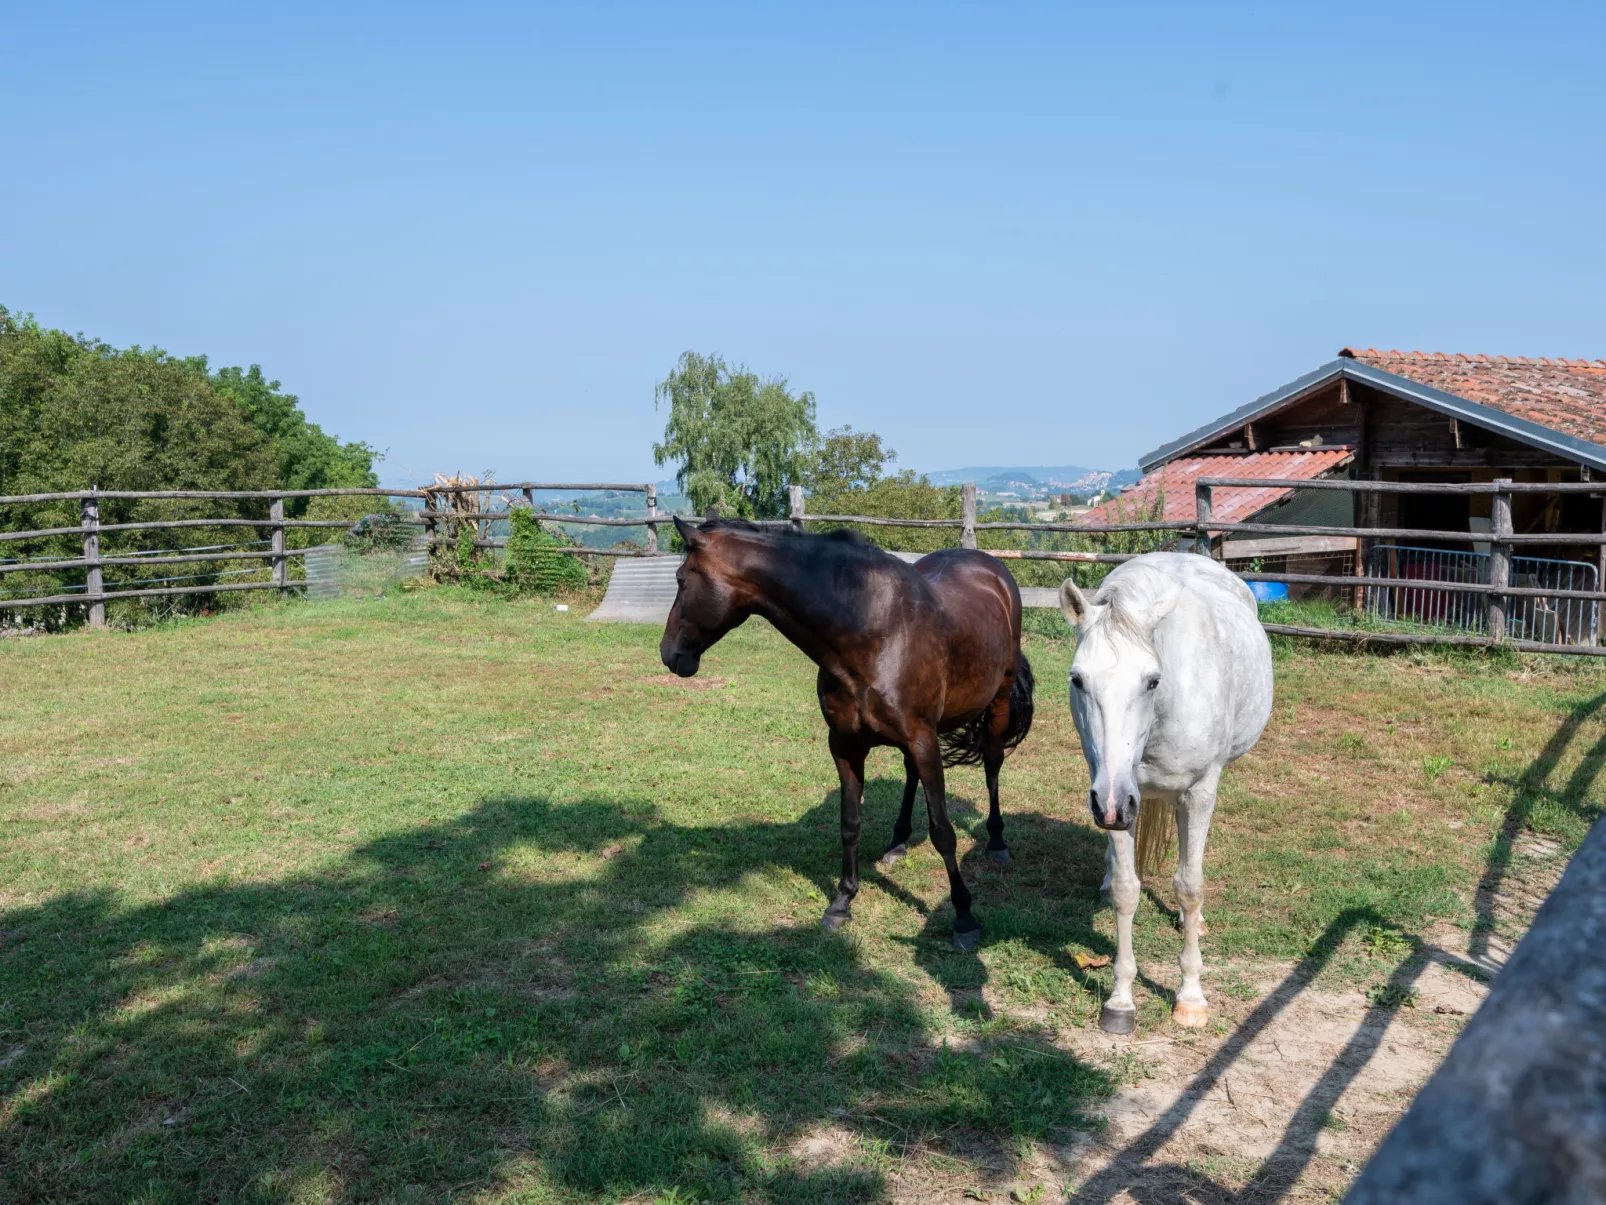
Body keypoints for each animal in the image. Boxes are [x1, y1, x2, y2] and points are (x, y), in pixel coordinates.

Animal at [658, 520, 1034, 951]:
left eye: (681, 579)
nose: (669, 654)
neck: (874, 633)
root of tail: (991, 569)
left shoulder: (923, 742)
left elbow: (943, 832)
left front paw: (964, 917)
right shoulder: (846, 746)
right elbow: (850, 823)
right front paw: (842, 902)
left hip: (997, 702)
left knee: (992, 763)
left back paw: (997, 842)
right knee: (910, 775)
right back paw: (897, 843)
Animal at [1059, 552, 1271, 1034]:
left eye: (1152, 681)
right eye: (1078, 680)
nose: (1112, 806)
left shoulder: (1196, 793)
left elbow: (1190, 886)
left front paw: (1191, 998)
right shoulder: (1116, 795)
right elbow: (1126, 889)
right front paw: (1120, 1000)